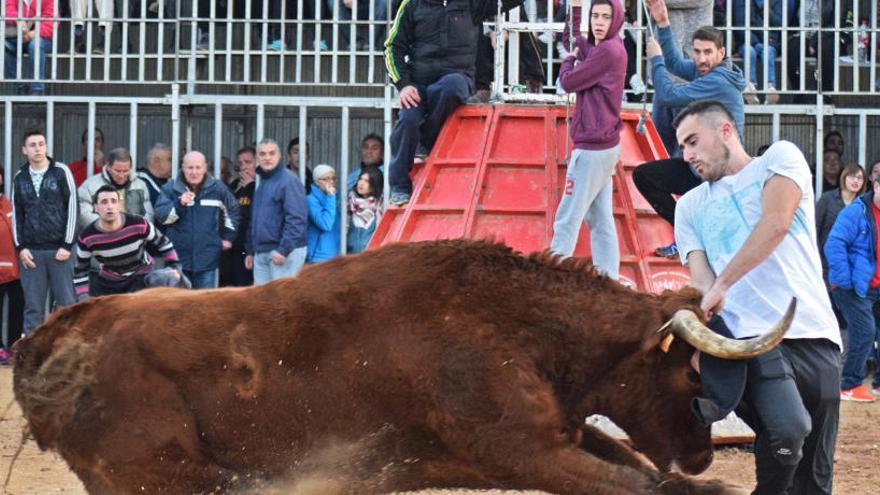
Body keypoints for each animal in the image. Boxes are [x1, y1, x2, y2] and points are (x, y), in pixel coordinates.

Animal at [12, 238, 792, 494]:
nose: (701, 452)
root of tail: (50, 337)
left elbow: (641, 470)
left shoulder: (560, 434)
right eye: (691, 376)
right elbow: (637, 483)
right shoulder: (523, 452)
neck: (509, 321)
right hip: (173, 478)